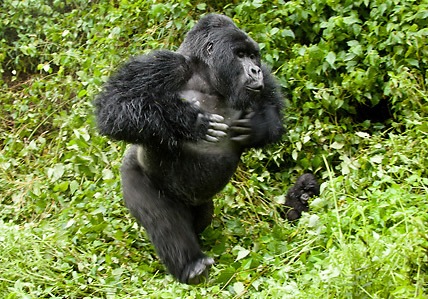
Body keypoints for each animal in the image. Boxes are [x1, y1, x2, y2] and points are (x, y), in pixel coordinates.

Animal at [94, 14, 284, 284]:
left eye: (252, 56)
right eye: (239, 55)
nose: (255, 70)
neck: (208, 78)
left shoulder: (264, 80)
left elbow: (274, 114)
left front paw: (259, 125)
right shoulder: (163, 65)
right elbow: (114, 108)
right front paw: (186, 122)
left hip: (201, 203)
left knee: (202, 217)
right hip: (133, 172)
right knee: (163, 220)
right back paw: (193, 267)